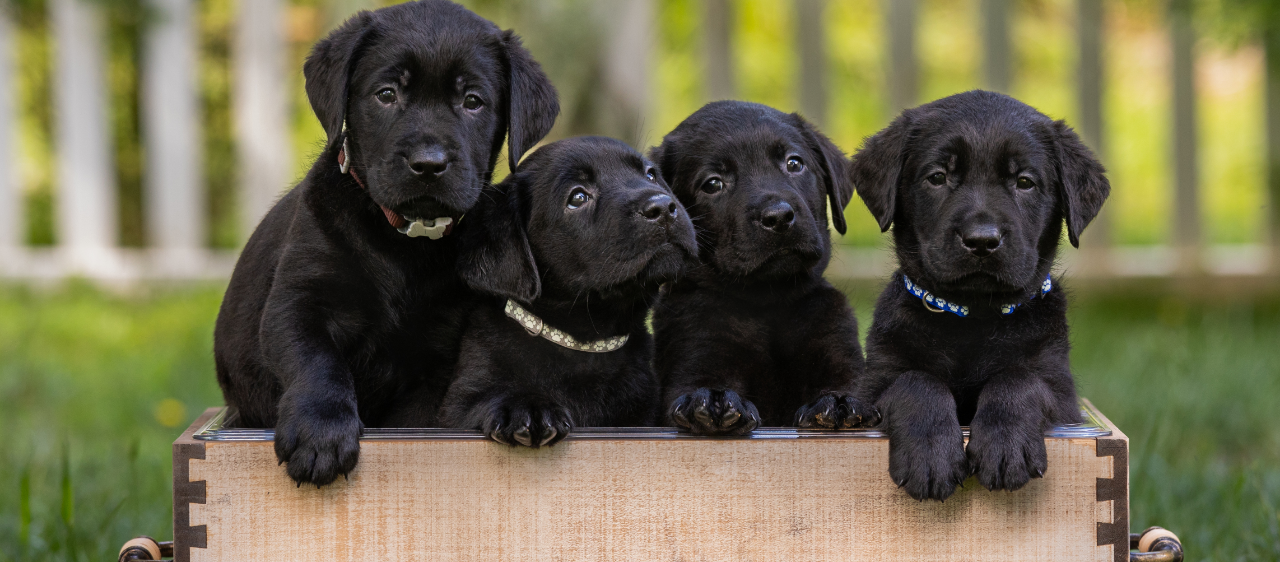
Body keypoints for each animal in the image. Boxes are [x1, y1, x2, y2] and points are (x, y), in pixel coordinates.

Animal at [212, 0, 558, 486]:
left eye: (472, 101)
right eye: (386, 94)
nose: (428, 164)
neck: (406, 241)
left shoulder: (440, 358)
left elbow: (414, 421)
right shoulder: (297, 301)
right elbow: (316, 359)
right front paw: (320, 434)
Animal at [440, 137, 701, 448]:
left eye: (650, 175)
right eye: (577, 197)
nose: (662, 207)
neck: (585, 348)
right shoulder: (460, 403)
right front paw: (527, 408)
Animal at [645, 101, 875, 435]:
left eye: (794, 163)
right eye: (712, 184)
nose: (778, 216)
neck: (768, 303)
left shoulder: (838, 350)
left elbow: (850, 386)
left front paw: (838, 403)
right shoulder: (694, 351)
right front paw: (714, 400)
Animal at [849, 91, 1111, 501]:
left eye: (1024, 182)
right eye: (937, 177)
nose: (982, 240)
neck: (974, 318)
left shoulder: (1060, 391)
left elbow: (1018, 379)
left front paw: (1006, 449)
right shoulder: (874, 385)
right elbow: (917, 382)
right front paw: (931, 457)